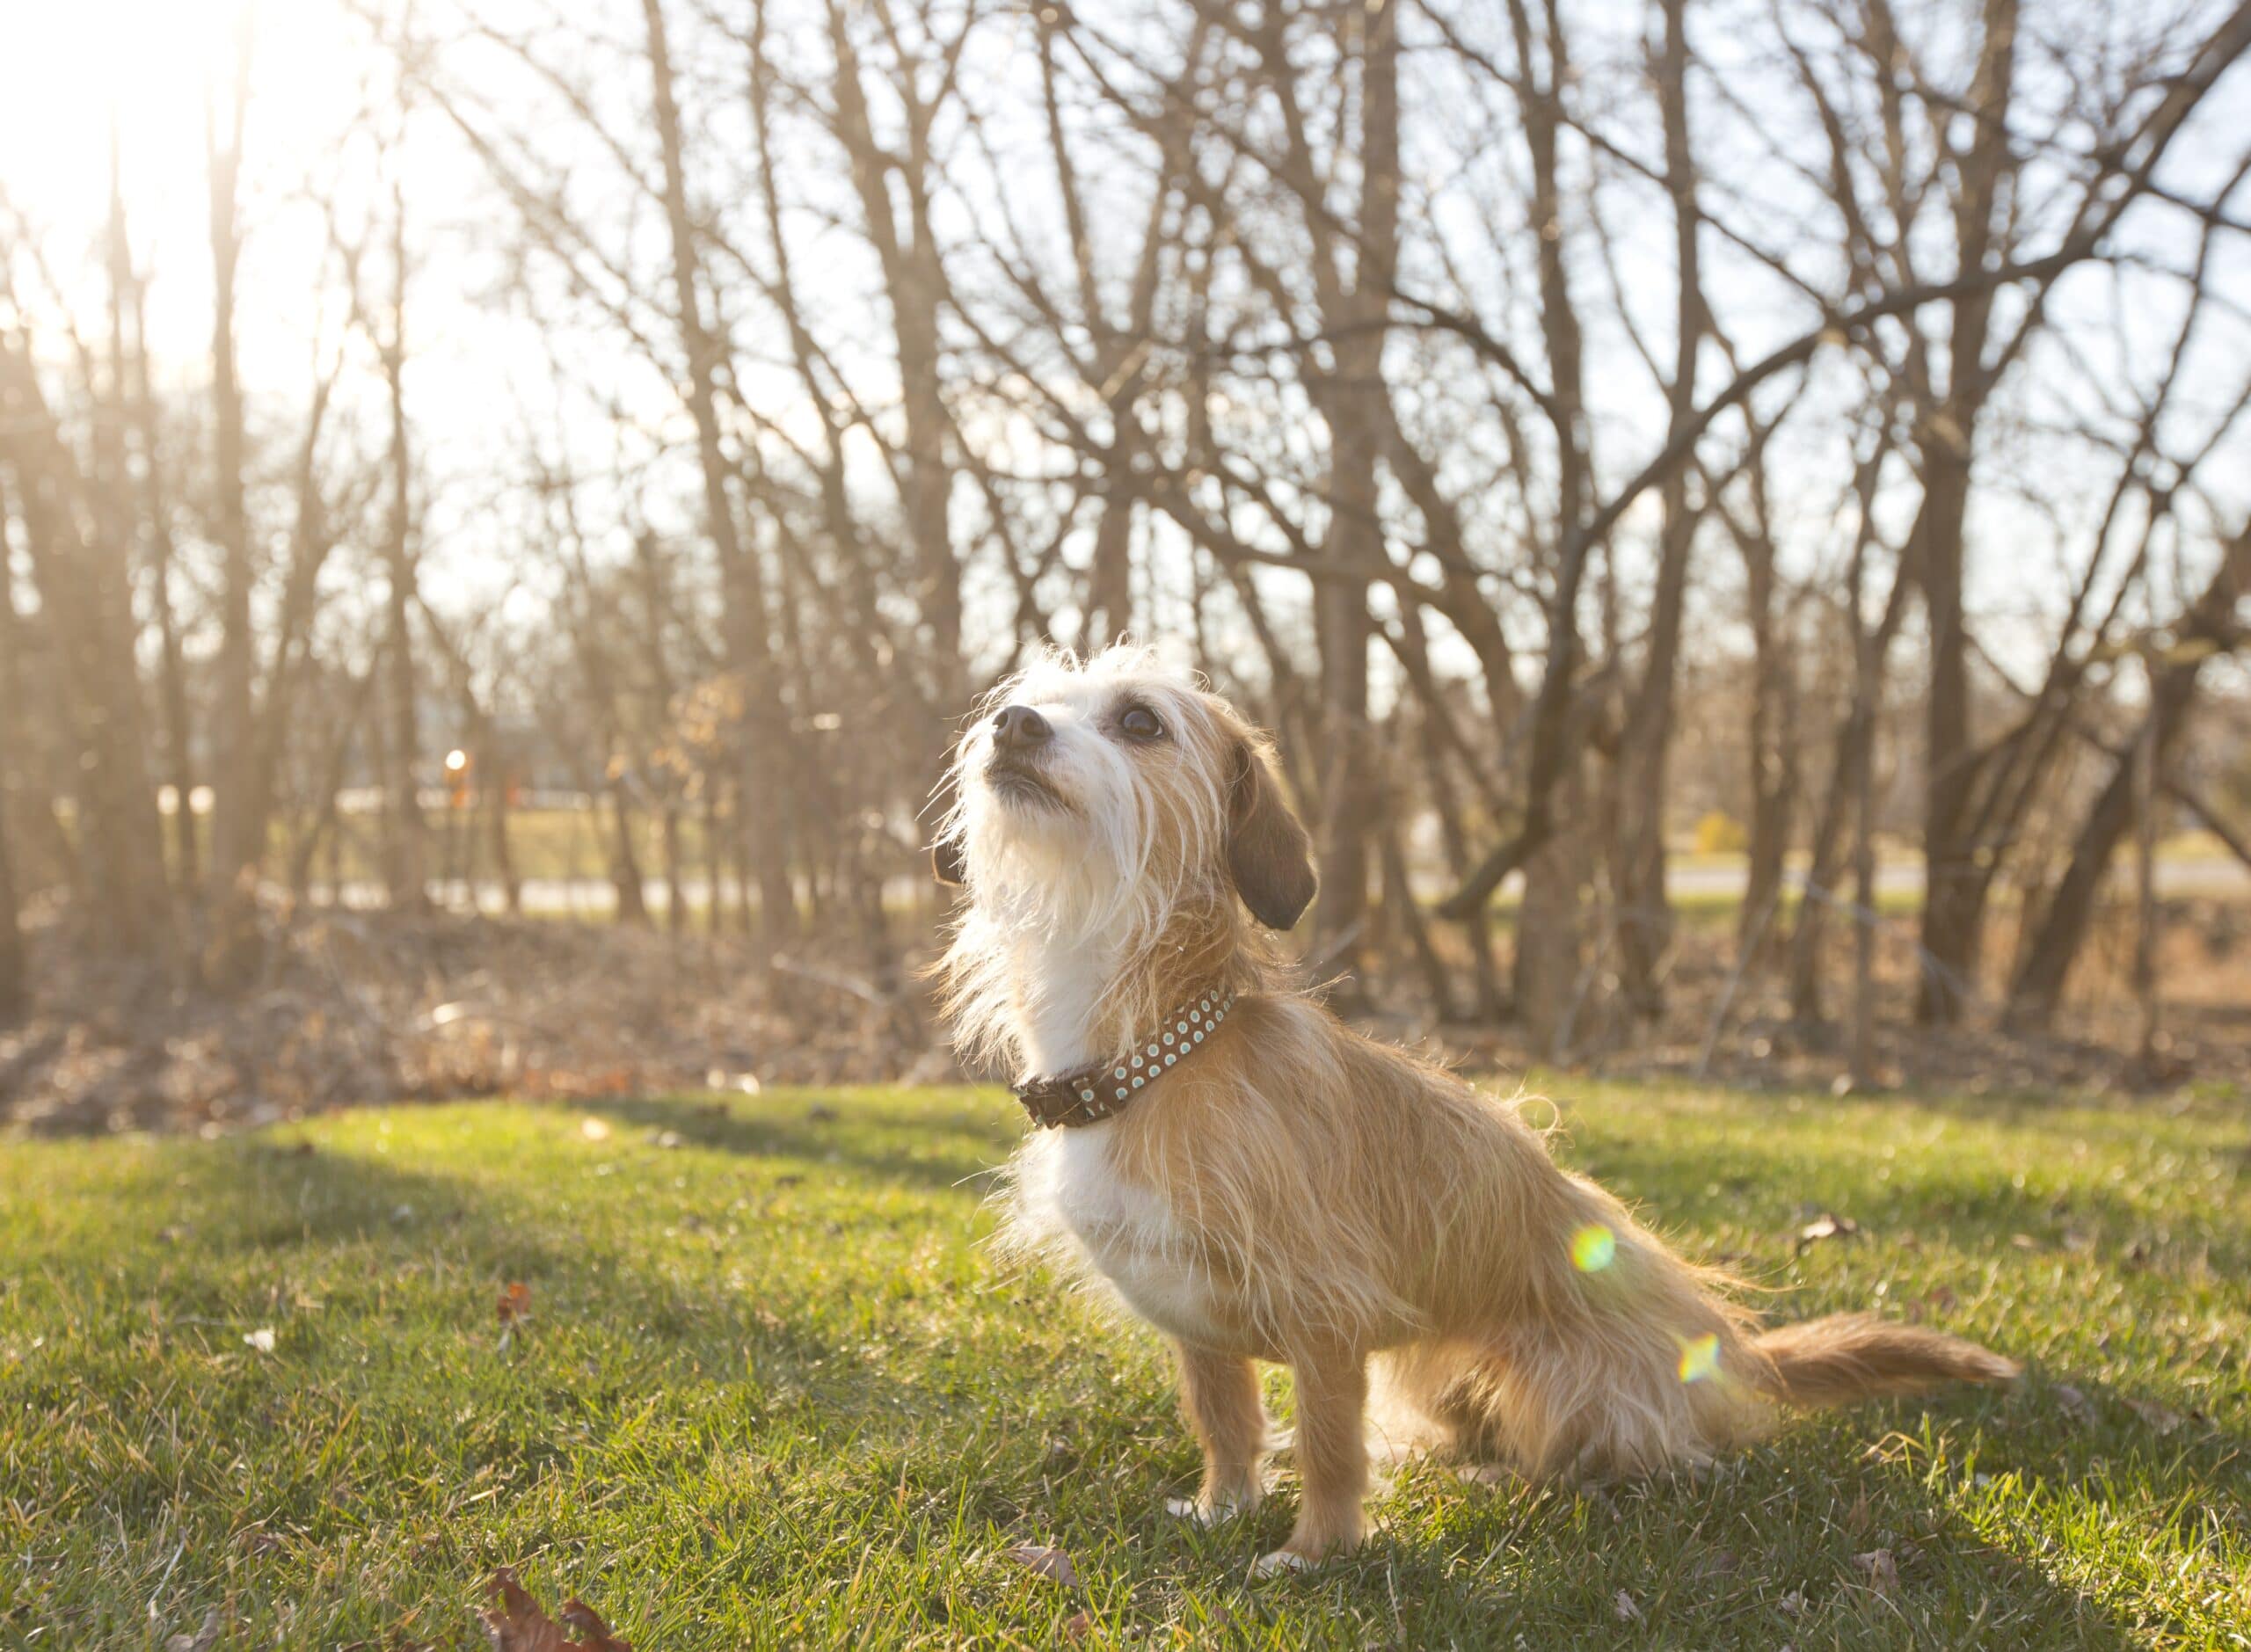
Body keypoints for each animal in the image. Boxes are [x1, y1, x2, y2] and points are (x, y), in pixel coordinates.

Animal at [922, 648, 2016, 1575]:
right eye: (1025, 697)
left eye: (1139, 720)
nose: (1011, 725)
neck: (1153, 1053)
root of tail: (1719, 1345)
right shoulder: (1195, 1319)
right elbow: (1226, 1421)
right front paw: (1223, 1507)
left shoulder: (1327, 1318)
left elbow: (1326, 1445)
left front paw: (1314, 1554)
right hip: (1428, 1364)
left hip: (1559, 1379)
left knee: (1647, 1453)